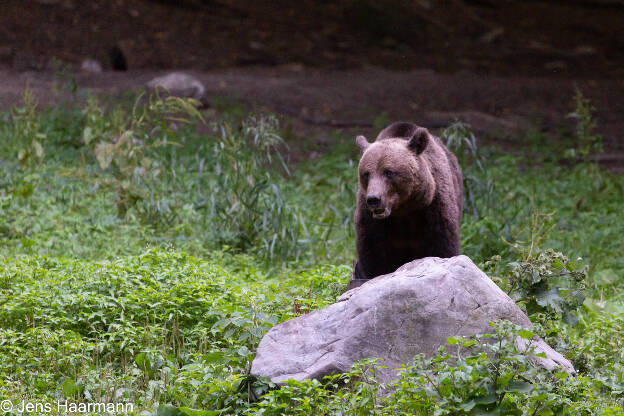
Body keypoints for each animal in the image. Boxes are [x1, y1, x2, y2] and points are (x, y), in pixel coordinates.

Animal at [354, 122, 460, 282]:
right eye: (366, 174)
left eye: (388, 172)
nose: (374, 199)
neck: (404, 209)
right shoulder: (371, 221)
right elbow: (373, 254)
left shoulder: (434, 208)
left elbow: (442, 245)